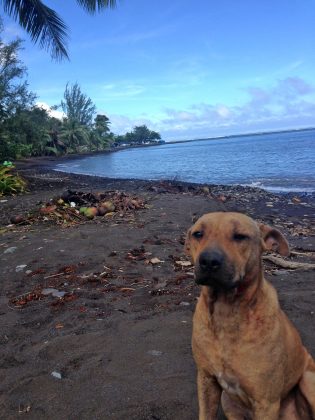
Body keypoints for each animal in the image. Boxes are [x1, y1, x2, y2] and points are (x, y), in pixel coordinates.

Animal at [185, 213, 315, 420]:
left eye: (240, 236)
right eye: (198, 234)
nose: (209, 261)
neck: (226, 312)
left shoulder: (266, 402)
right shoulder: (207, 381)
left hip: (309, 380)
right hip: (227, 401)